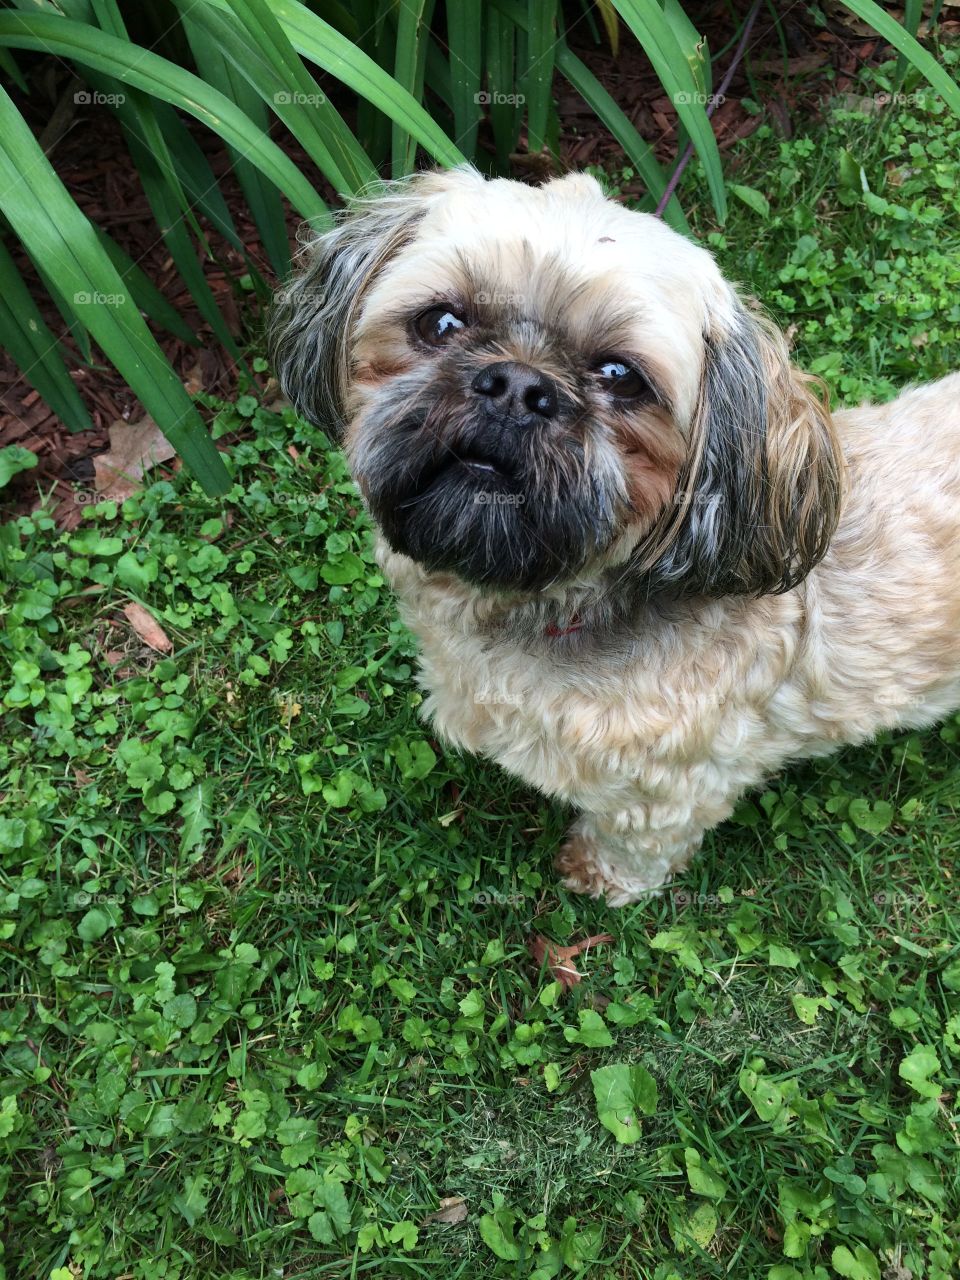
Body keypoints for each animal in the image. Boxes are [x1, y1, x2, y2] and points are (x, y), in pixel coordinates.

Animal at [268, 170, 960, 906]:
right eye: (441, 322)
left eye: (621, 376)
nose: (517, 385)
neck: (555, 607)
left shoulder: (667, 790)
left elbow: (636, 846)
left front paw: (600, 878)